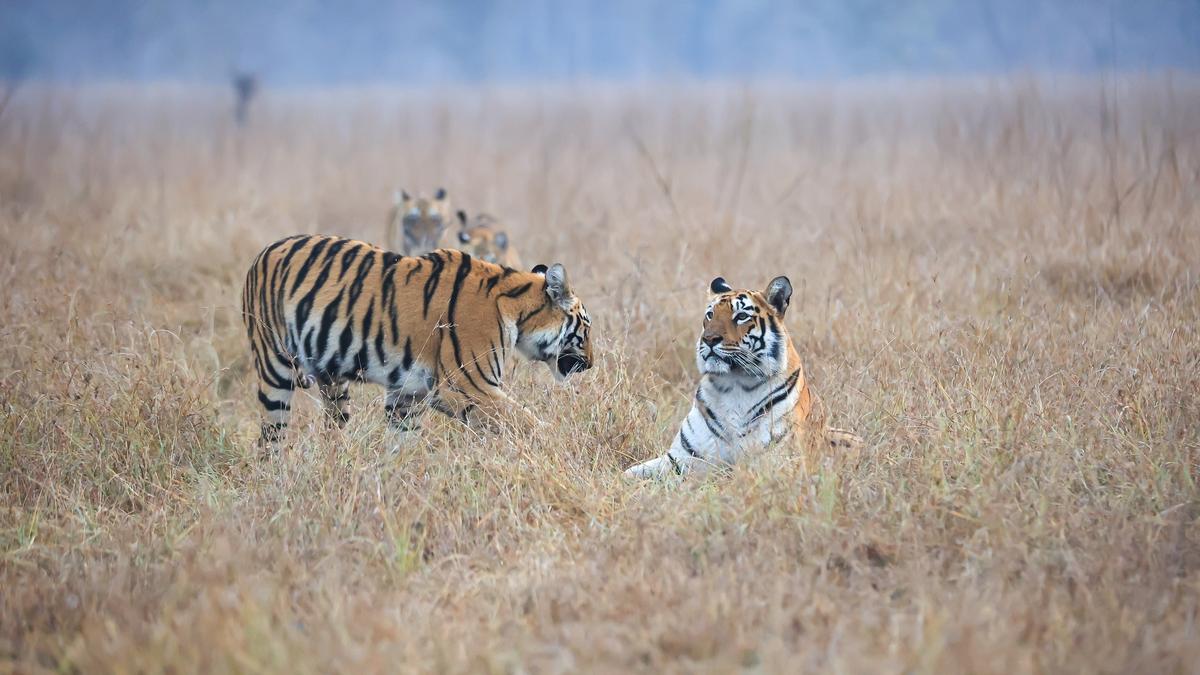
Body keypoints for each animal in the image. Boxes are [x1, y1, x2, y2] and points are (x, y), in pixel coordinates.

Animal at [240, 230, 595, 446]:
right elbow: (524, 420)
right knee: (269, 439)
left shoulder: (408, 393)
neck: (515, 309)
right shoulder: (467, 385)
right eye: (586, 330)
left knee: (333, 425)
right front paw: (559, 444)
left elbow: (402, 442)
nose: (591, 364)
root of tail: (262, 253)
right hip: (275, 369)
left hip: (333, 381)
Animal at [624, 276, 859, 475]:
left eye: (742, 316)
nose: (709, 339)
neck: (733, 384)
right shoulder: (680, 458)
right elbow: (628, 474)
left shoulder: (773, 463)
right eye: (710, 315)